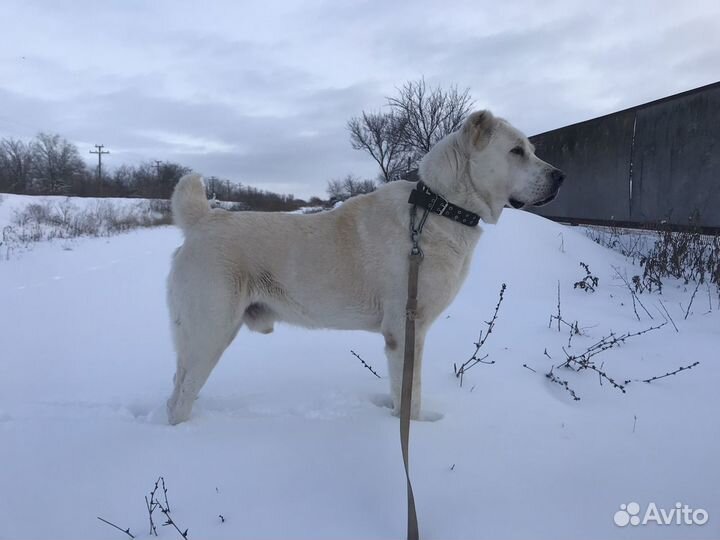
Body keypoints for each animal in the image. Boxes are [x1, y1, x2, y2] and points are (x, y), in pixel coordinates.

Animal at [167, 109, 564, 424]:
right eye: (516, 151)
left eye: (532, 150)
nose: (560, 176)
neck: (440, 206)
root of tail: (202, 220)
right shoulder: (406, 330)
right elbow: (411, 398)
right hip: (210, 332)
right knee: (181, 399)